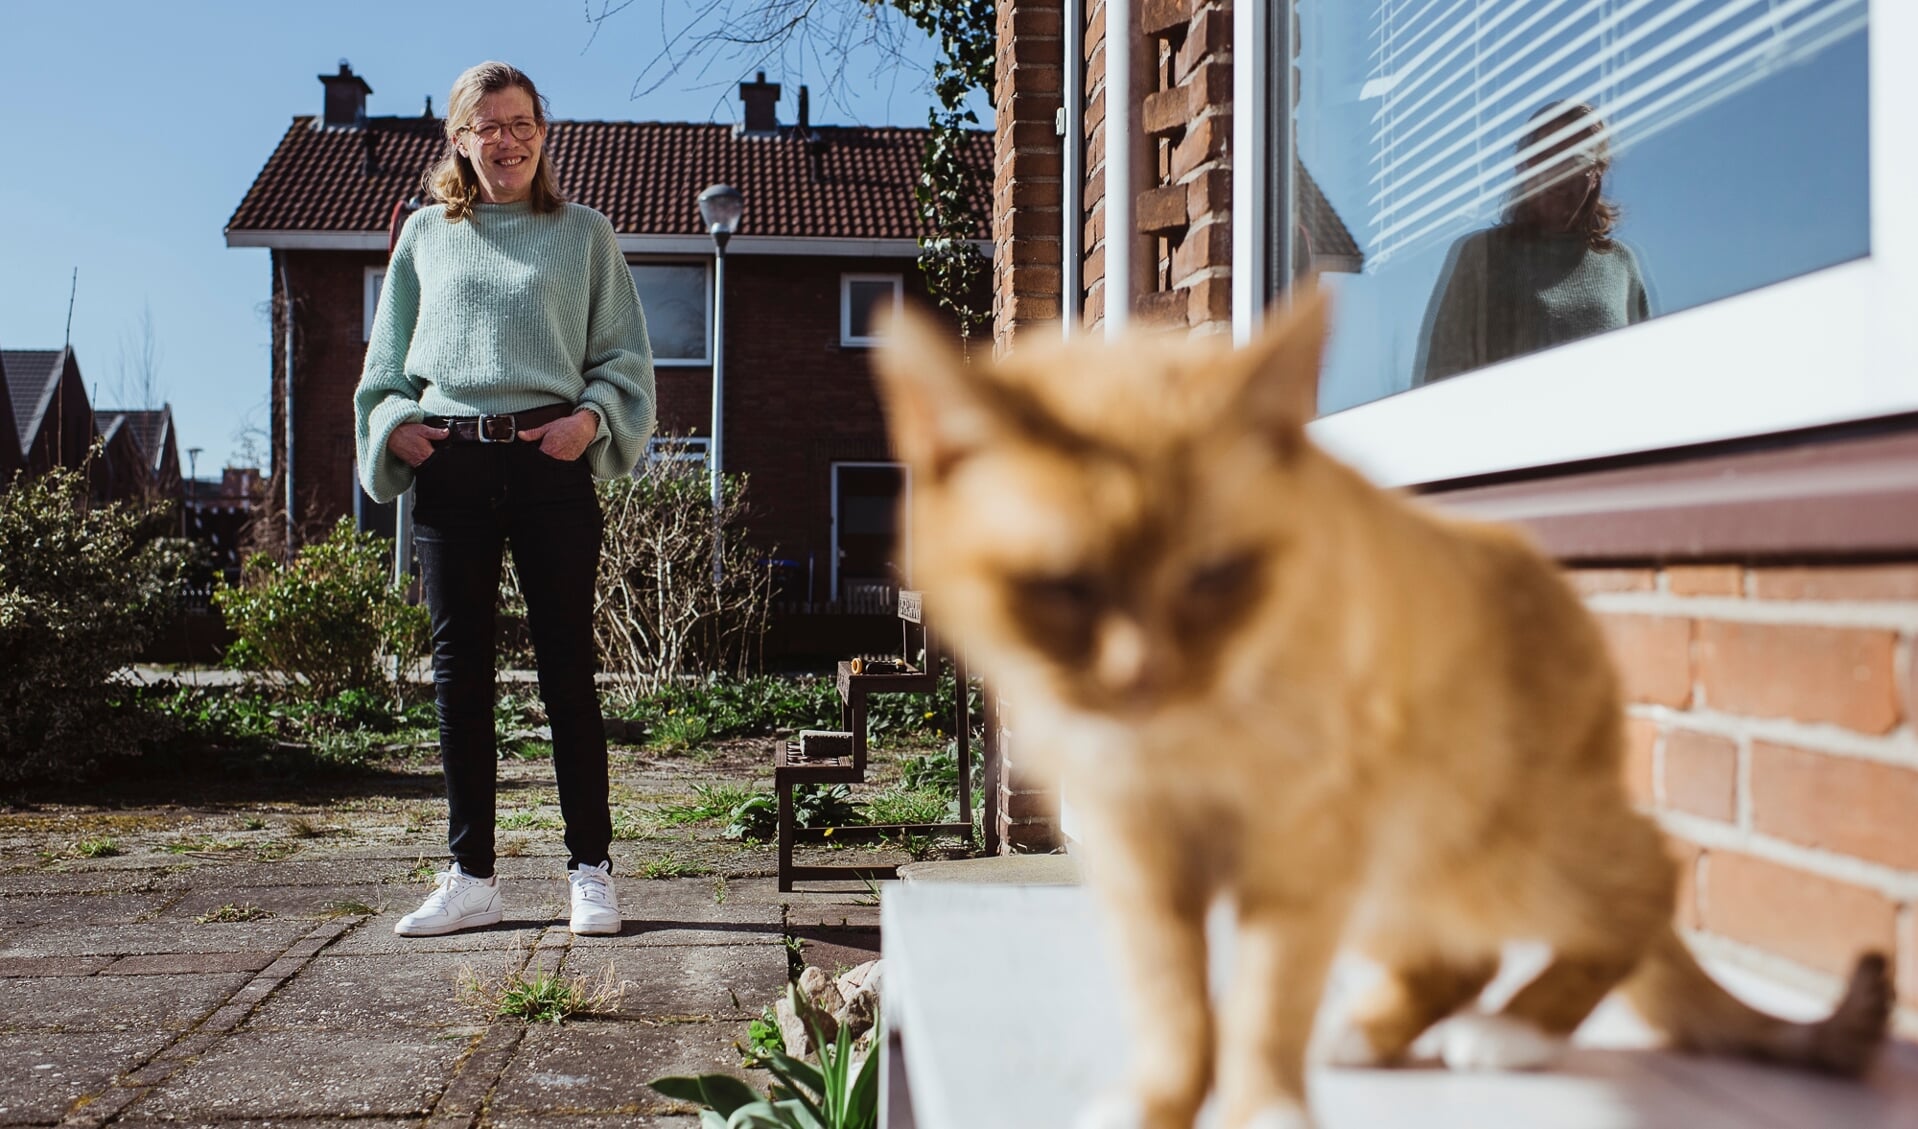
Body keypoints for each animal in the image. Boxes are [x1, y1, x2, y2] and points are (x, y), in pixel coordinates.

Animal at [878, 293, 1894, 1127]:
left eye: (1217, 575)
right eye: (1063, 587)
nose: (1141, 674)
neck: (1196, 736)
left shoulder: (1299, 851)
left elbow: (1264, 1003)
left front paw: (1264, 1107)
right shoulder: (1141, 848)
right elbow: (1170, 1000)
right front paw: (1158, 1103)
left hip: (1501, 843)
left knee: (1644, 877)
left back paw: (1511, 1032)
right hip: (1389, 874)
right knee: (1460, 958)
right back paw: (1366, 1032)